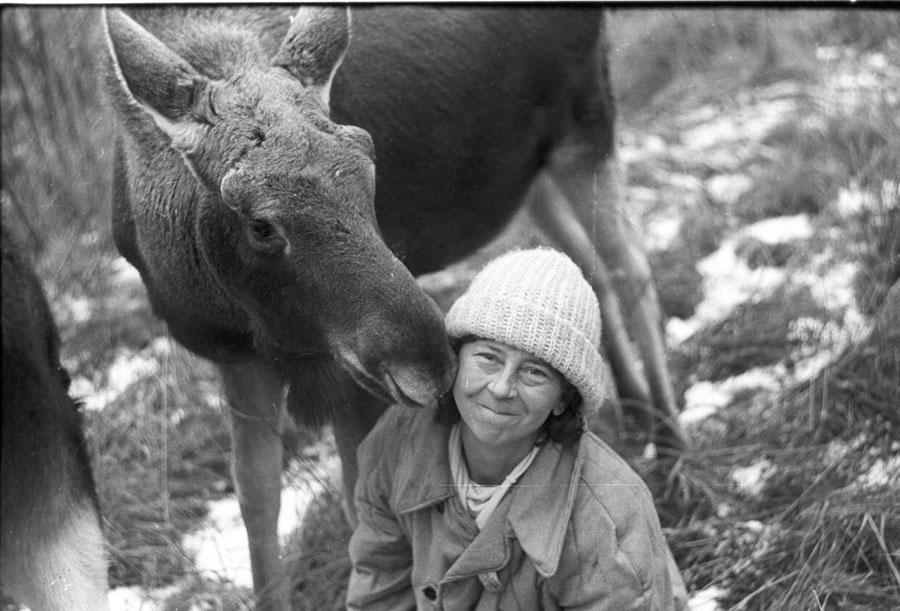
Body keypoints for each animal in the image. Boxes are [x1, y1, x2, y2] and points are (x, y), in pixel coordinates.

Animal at [100, 4, 684, 608]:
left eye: (370, 171)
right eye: (260, 224)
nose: (430, 362)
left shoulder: (346, 373)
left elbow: (357, 503)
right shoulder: (237, 359)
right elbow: (256, 500)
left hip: (586, 122)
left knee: (629, 267)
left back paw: (671, 443)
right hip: (529, 171)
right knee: (581, 272)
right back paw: (633, 413)